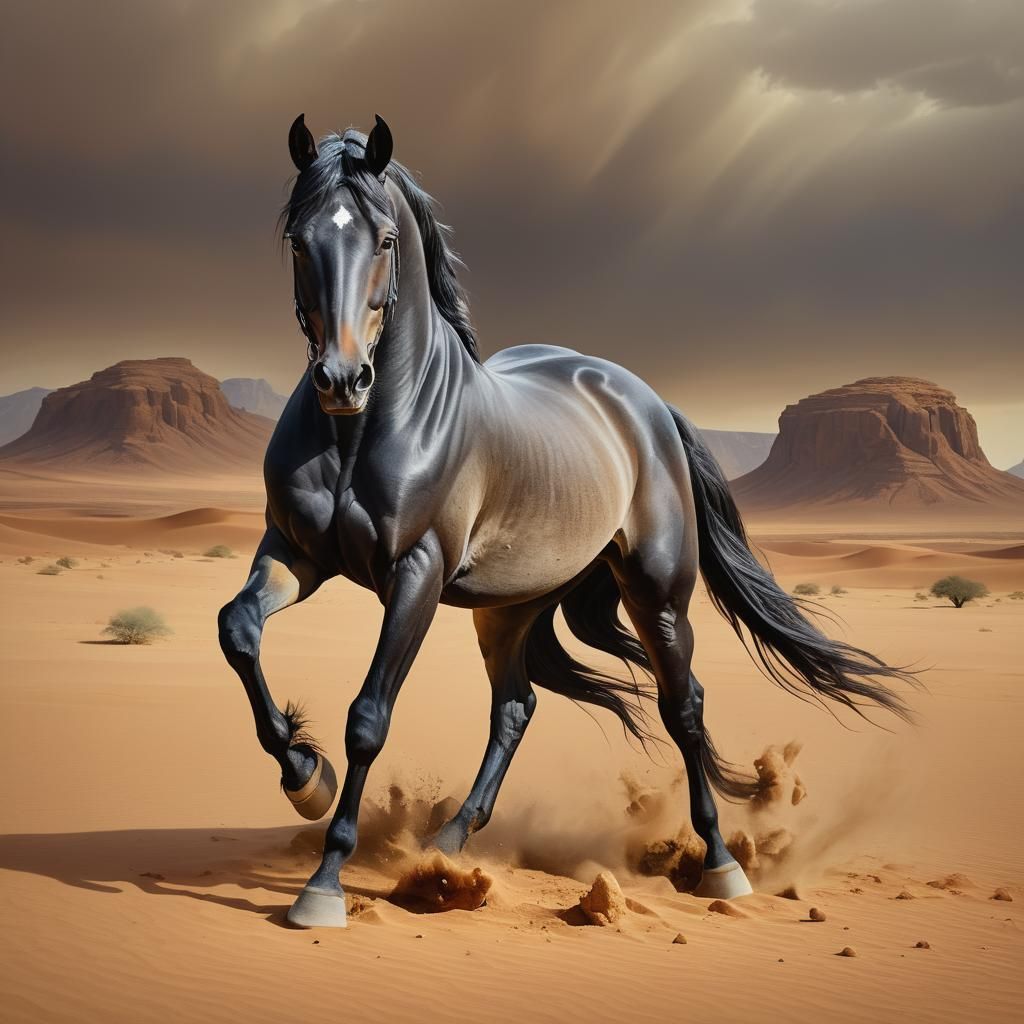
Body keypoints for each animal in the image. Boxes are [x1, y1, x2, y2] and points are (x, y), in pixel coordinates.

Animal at [218, 114, 915, 928]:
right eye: (299, 239)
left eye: (385, 239)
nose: (340, 379)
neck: (365, 432)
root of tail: (644, 400)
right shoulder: (296, 554)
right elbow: (237, 631)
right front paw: (306, 775)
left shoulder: (414, 574)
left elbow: (369, 717)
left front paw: (323, 884)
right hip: (511, 606)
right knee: (516, 706)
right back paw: (446, 846)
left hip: (656, 593)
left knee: (683, 706)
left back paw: (721, 867)